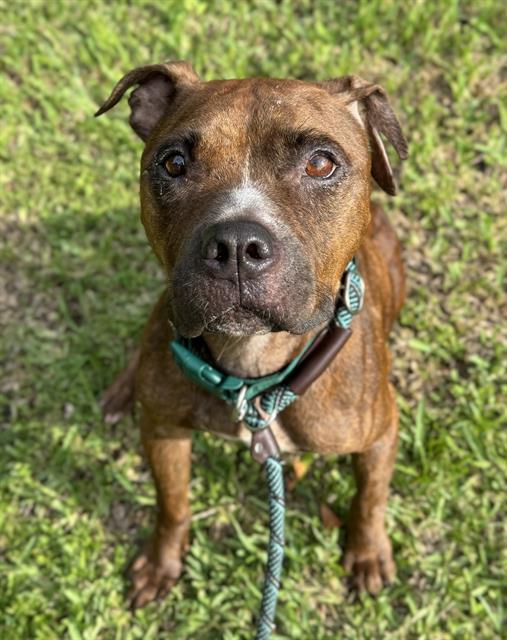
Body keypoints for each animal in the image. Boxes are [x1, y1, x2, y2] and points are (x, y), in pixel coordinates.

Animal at [95, 61, 408, 608]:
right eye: (173, 163)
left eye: (321, 164)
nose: (237, 245)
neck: (253, 369)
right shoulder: (163, 430)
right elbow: (172, 504)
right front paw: (161, 562)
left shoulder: (380, 434)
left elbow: (370, 497)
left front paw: (368, 553)